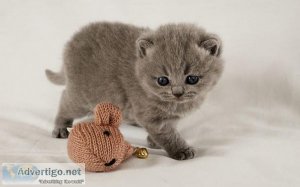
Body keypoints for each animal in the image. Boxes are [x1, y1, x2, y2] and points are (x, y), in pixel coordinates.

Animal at [45, 21, 224, 159]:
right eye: (163, 81)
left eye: (192, 79)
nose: (178, 92)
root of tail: (71, 43)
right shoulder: (150, 116)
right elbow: (168, 134)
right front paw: (181, 150)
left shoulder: (169, 117)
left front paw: (153, 142)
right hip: (81, 96)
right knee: (65, 100)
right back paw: (60, 128)